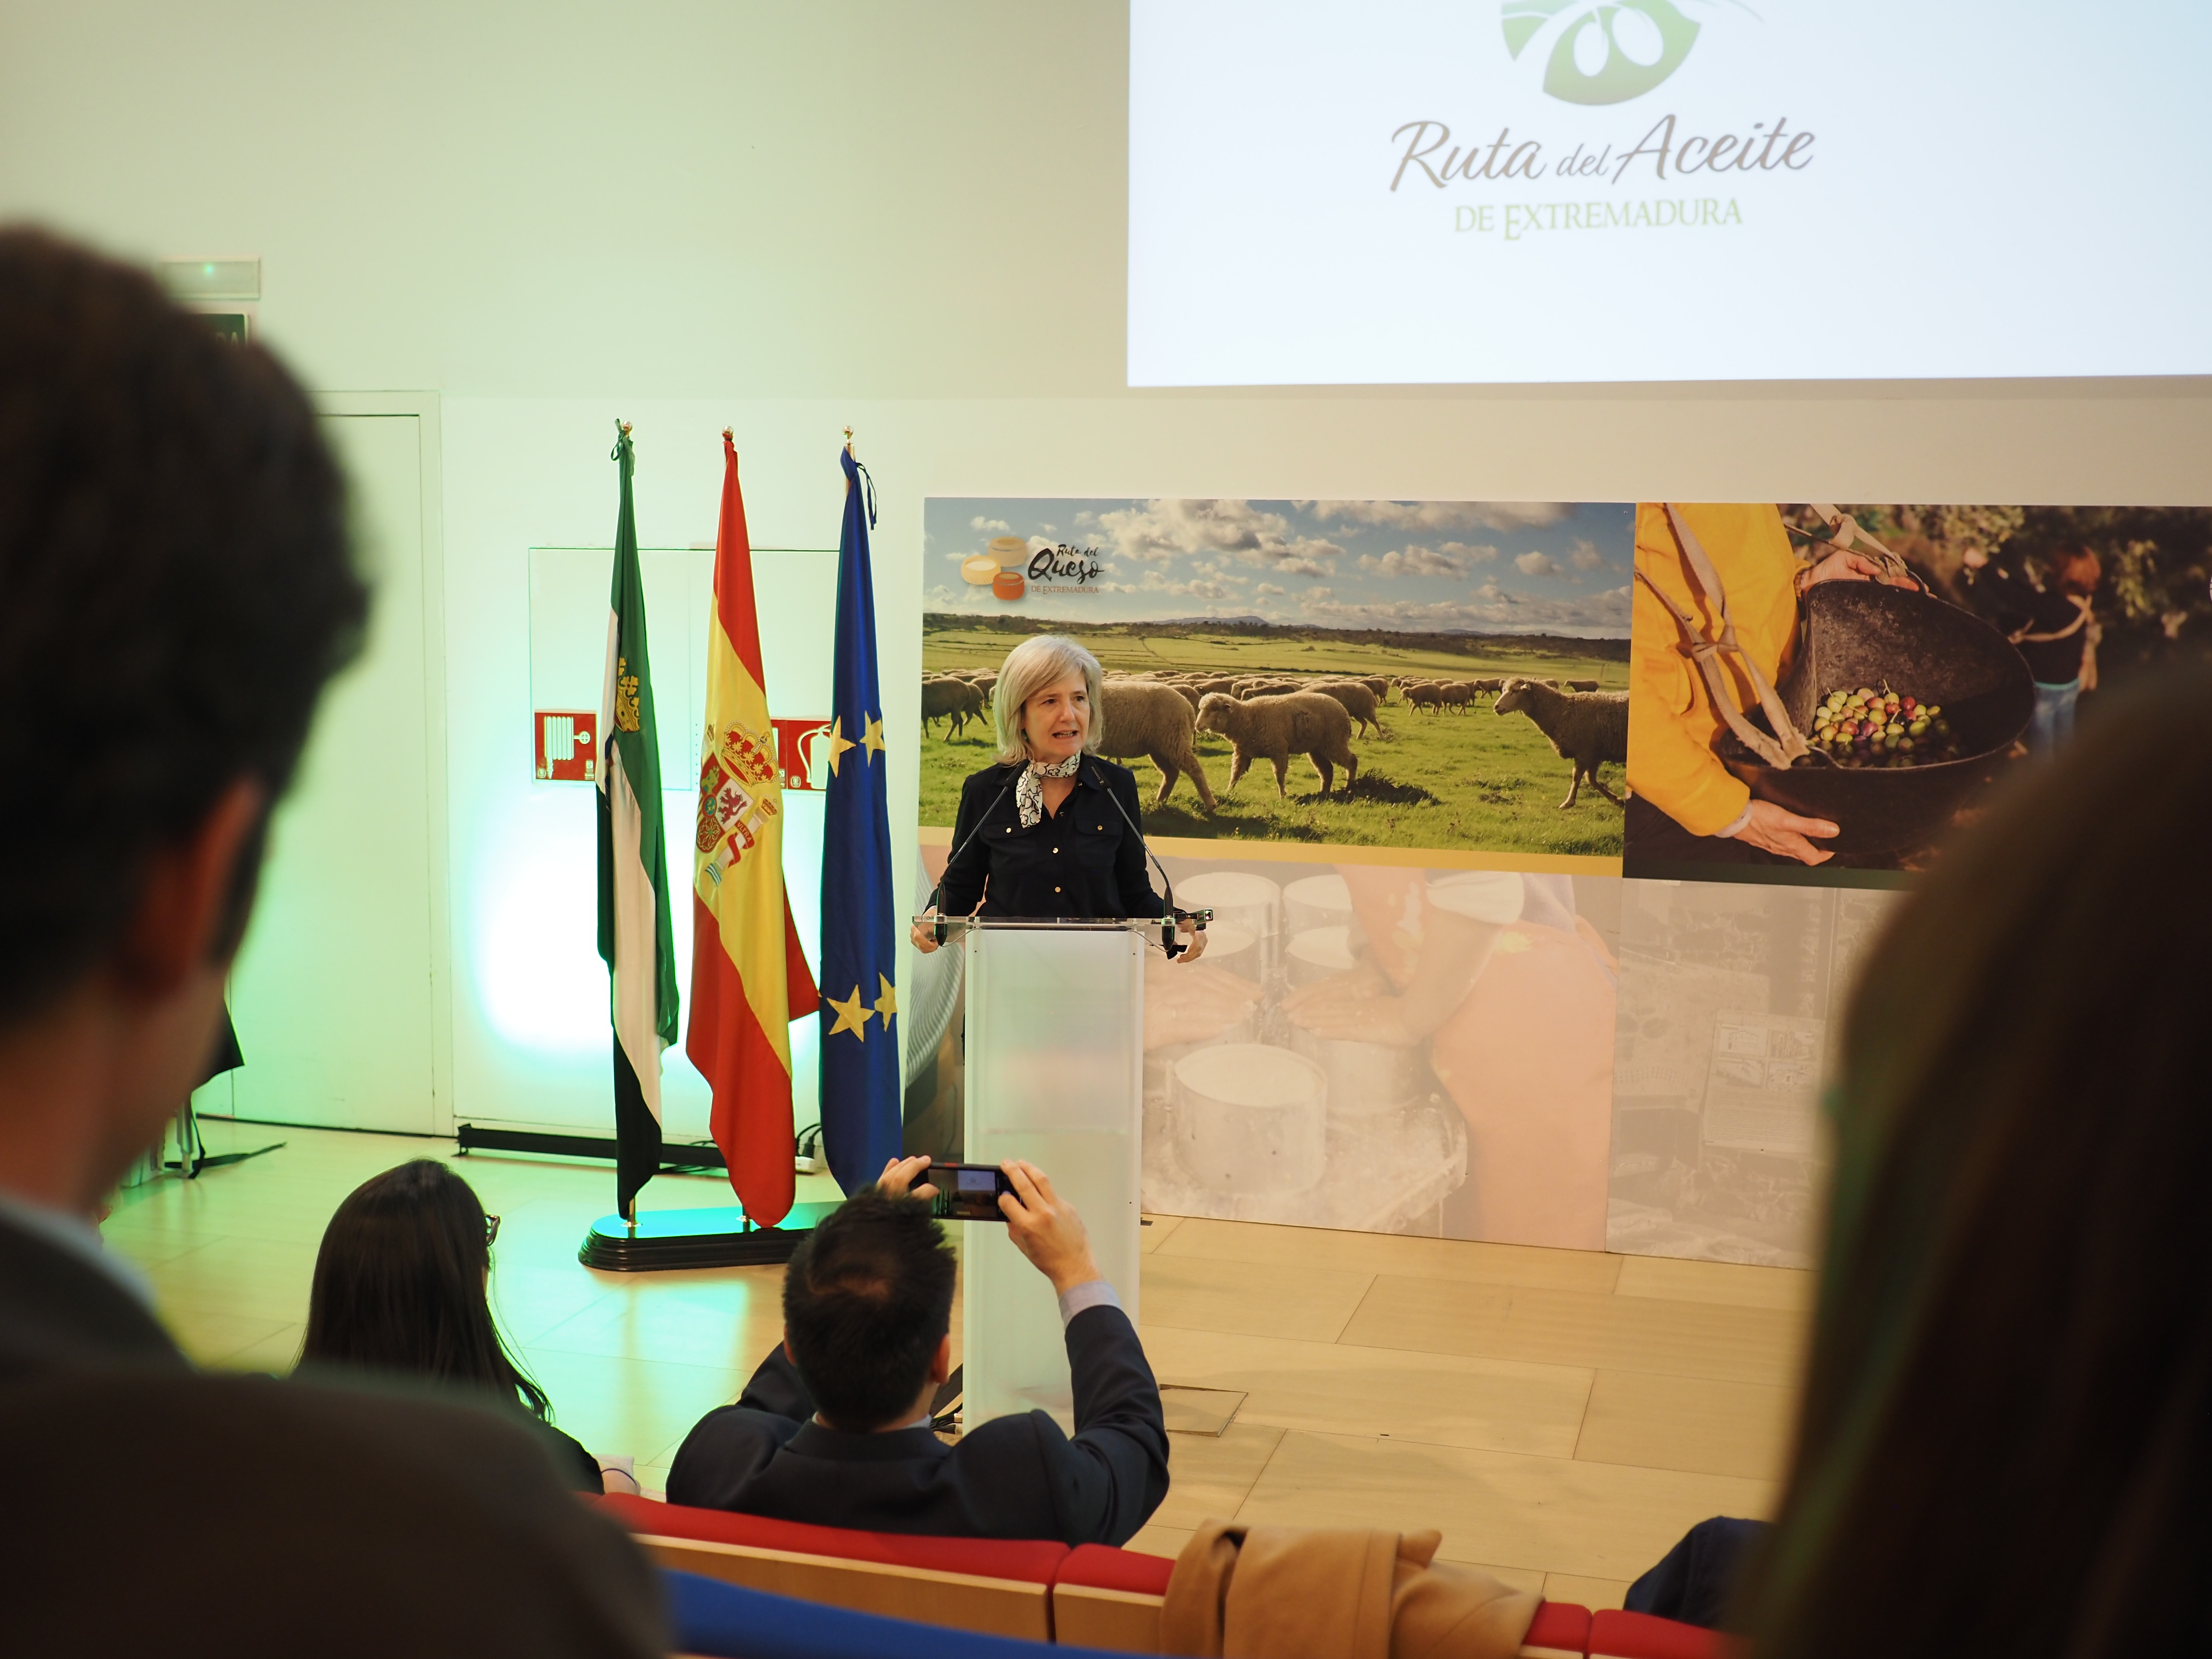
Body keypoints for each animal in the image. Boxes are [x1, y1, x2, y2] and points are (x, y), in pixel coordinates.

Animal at [920, 677, 982, 739]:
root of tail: (967, 689)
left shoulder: (924, 711)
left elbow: (925, 725)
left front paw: (927, 737)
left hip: (957, 707)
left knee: (955, 722)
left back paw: (947, 738)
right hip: (957, 709)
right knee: (961, 721)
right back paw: (960, 736)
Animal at [1097, 681, 1221, 814]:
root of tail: (1189, 708)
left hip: (1174, 739)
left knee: (1194, 769)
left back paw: (1210, 804)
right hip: (1159, 747)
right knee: (1171, 773)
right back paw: (1160, 801)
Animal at [1203, 690, 1353, 800]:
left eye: (1215, 709)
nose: (1199, 726)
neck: (1248, 717)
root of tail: (1342, 708)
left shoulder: (1279, 750)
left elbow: (1279, 777)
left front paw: (1282, 796)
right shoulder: (1243, 753)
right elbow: (1235, 775)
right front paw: (1227, 791)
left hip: (1335, 743)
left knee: (1352, 761)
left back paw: (1350, 787)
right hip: (1317, 749)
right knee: (1327, 770)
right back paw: (1324, 793)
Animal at [1301, 677, 1389, 739]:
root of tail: (1370, 692)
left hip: (1368, 710)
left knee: (1376, 724)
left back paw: (1382, 738)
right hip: (1357, 714)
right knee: (1364, 724)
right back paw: (1359, 737)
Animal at [1495, 672, 1637, 809]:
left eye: (1515, 691)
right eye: (1504, 690)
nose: (1496, 707)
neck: (1562, 711)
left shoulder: (1585, 752)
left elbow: (1577, 777)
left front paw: (1569, 802)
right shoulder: (1594, 754)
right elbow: (1591, 780)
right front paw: (1617, 800)